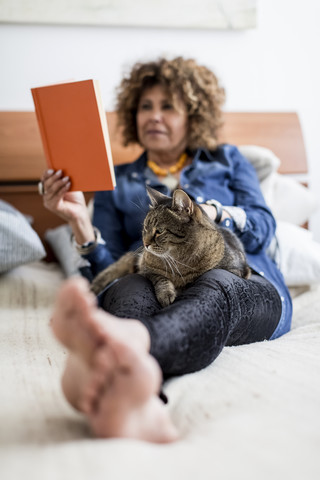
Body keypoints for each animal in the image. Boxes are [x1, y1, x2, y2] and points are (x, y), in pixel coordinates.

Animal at [90, 186, 250, 306]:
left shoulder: (237, 270)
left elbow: (192, 281)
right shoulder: (145, 268)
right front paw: (167, 293)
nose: (145, 244)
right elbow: (160, 278)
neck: (179, 260)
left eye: (159, 231)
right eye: (145, 228)